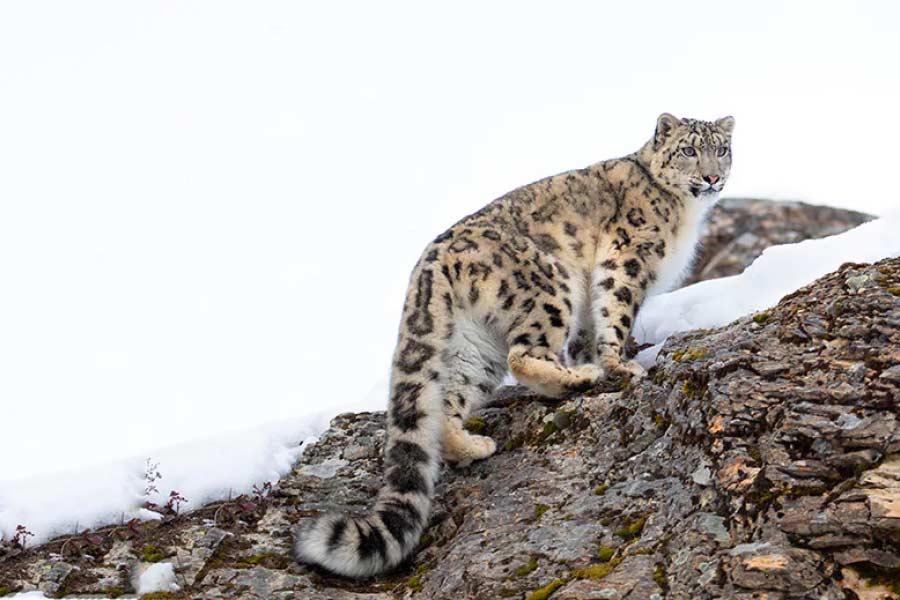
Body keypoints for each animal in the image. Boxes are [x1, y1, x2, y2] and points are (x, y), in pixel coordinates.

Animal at [293, 113, 735, 577]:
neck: (684, 212)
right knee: (523, 355)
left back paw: (475, 445)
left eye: (721, 149)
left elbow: (588, 331)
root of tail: (430, 262)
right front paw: (618, 363)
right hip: (550, 288)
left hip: (474, 344)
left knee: (450, 402)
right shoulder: (627, 260)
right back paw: (575, 380)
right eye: (689, 149)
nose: (712, 176)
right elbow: (614, 311)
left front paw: (597, 358)